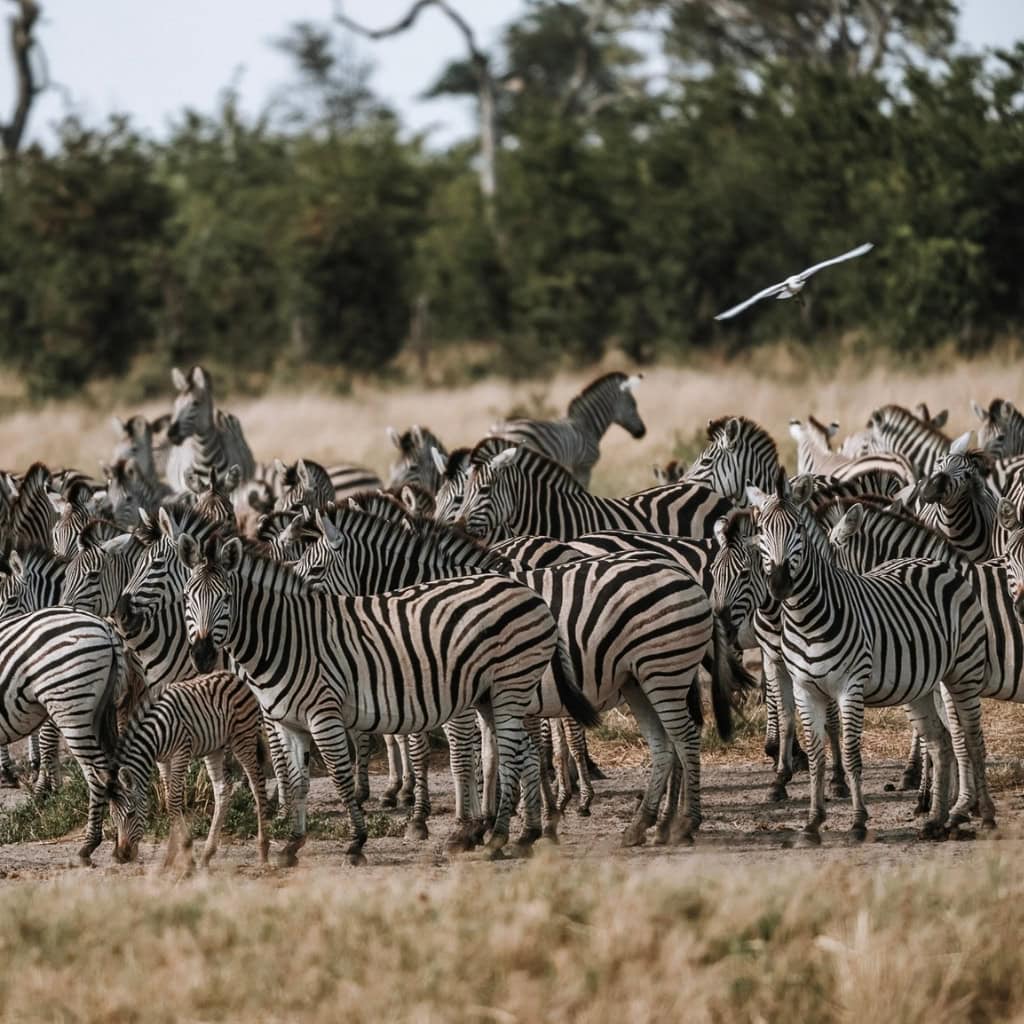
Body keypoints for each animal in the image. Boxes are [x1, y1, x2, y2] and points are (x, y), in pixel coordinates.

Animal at [0, 606, 136, 864]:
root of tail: (104, 626)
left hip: (71, 708)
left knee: (98, 775)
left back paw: (87, 847)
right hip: (99, 710)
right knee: (117, 773)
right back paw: (121, 843)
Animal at [113, 670, 269, 869]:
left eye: (131, 813)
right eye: (113, 817)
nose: (121, 856)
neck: (155, 734)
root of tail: (234, 676)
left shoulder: (181, 752)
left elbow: (173, 801)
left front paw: (180, 855)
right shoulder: (162, 761)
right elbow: (168, 798)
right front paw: (179, 854)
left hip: (243, 738)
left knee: (257, 784)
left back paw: (263, 851)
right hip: (214, 748)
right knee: (222, 790)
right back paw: (207, 855)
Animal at [177, 531, 598, 865]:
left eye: (226, 598)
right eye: (186, 597)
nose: (201, 655)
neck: (286, 637)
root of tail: (529, 592)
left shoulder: (323, 714)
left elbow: (341, 778)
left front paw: (356, 843)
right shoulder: (290, 723)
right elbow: (296, 783)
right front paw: (292, 845)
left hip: (511, 685)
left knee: (511, 755)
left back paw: (497, 838)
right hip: (491, 695)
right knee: (524, 752)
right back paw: (526, 835)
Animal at [748, 470, 989, 844]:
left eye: (798, 529)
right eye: (760, 530)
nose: (779, 583)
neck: (805, 618)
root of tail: (934, 561)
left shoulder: (850, 687)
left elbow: (850, 755)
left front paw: (858, 822)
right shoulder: (805, 688)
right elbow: (815, 756)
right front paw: (812, 824)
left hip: (963, 671)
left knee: (973, 738)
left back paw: (982, 815)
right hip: (921, 685)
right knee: (940, 742)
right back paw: (936, 821)